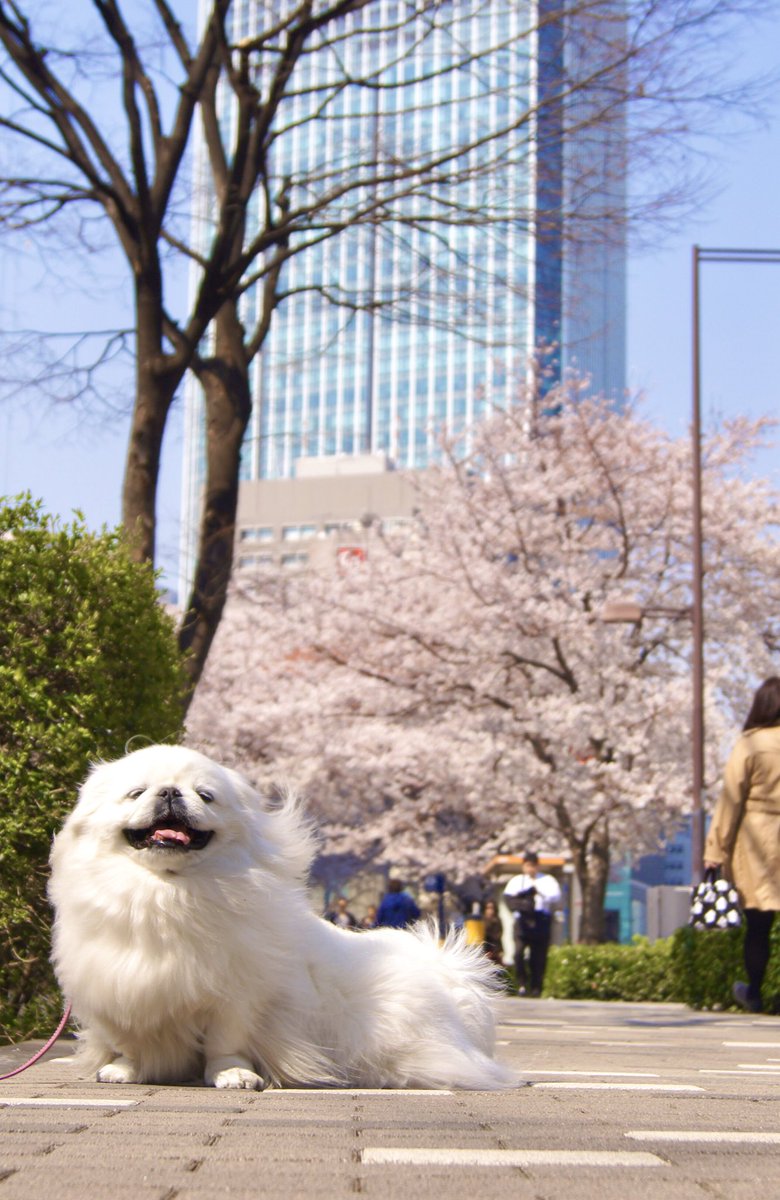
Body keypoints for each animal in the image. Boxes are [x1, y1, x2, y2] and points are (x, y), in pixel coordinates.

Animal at [45, 744, 513, 1094]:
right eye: (137, 792)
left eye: (205, 796)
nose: (170, 793)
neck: (167, 891)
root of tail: (443, 976)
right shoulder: (119, 986)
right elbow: (130, 1040)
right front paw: (126, 1068)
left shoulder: (237, 996)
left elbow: (225, 1042)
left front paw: (232, 1074)